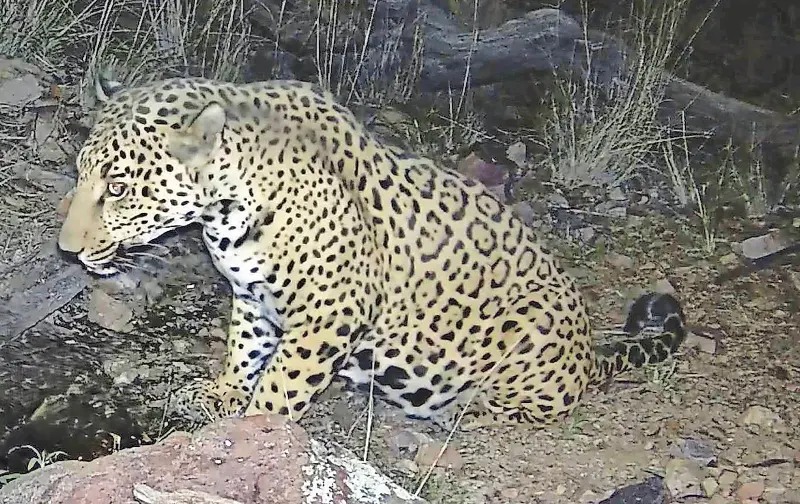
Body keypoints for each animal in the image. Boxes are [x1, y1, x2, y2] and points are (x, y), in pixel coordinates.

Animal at [57, 75, 688, 431]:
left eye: (118, 187)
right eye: (81, 173)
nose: (66, 250)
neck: (225, 213)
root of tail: (588, 355)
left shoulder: (330, 312)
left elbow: (282, 382)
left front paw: (254, 427)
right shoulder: (254, 296)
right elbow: (246, 349)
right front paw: (225, 393)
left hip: (533, 324)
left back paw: (469, 408)